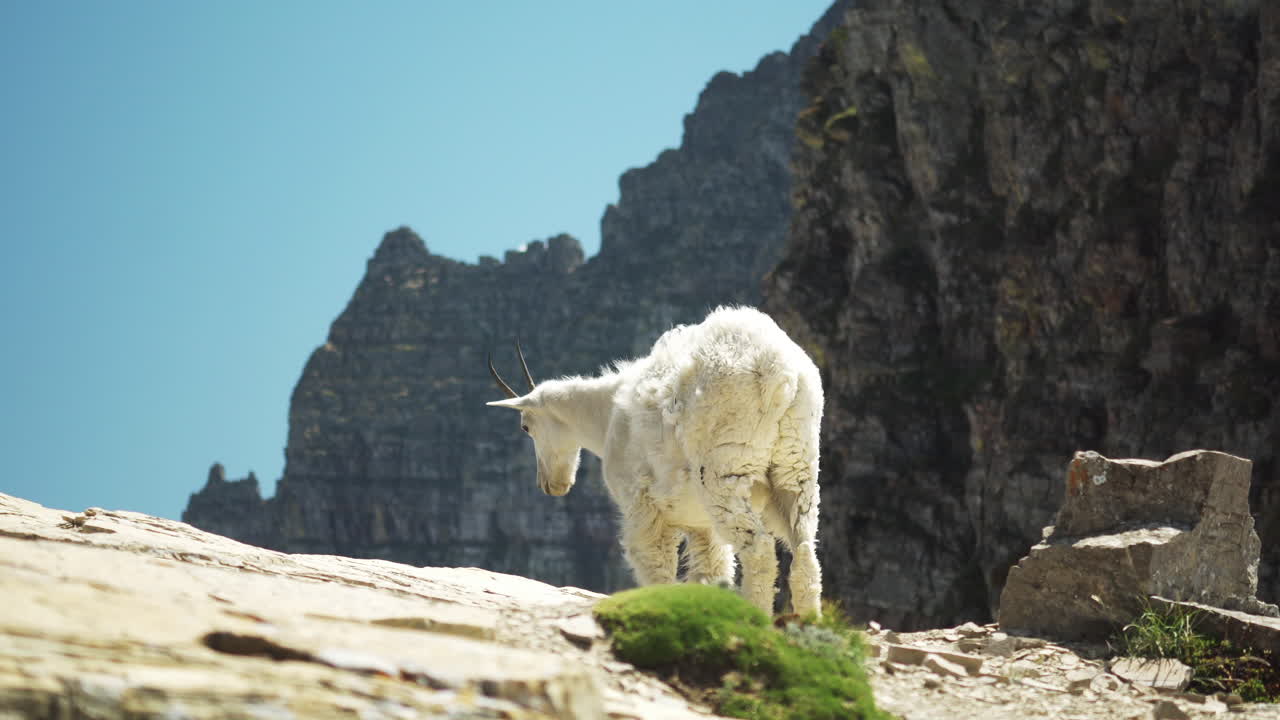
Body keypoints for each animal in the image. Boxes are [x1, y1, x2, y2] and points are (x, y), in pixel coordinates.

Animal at [486, 306, 823, 616]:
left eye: (526, 426)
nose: (550, 485)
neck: (606, 414)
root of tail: (781, 374)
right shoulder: (700, 524)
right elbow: (710, 571)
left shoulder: (641, 504)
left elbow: (654, 564)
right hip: (795, 468)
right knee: (805, 552)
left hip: (724, 470)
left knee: (760, 550)